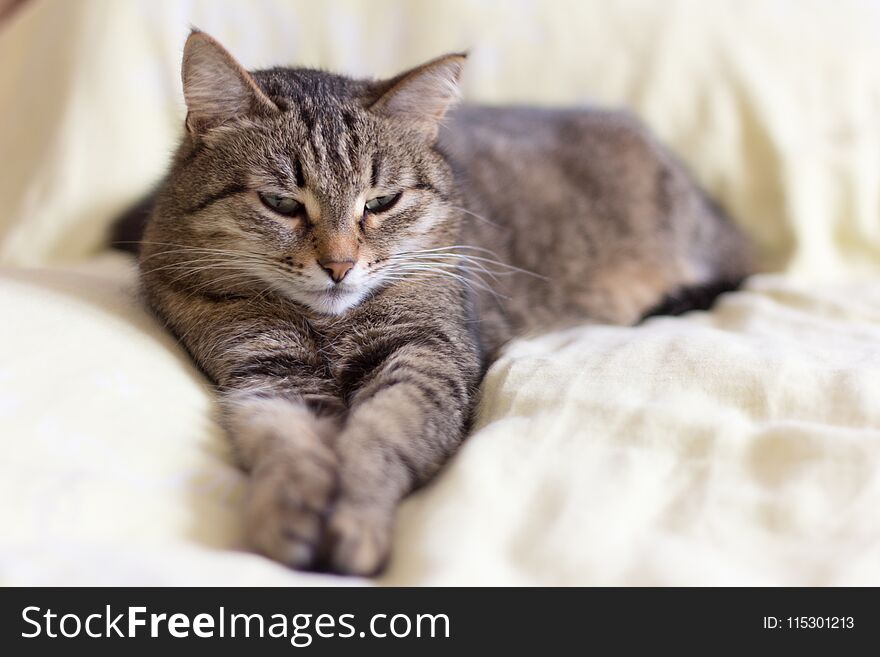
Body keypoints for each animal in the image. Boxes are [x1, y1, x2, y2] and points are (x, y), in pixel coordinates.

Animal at [127, 30, 752, 576]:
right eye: (281, 202)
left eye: (381, 202)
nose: (338, 266)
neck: (325, 324)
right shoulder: (264, 369)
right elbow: (283, 440)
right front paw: (290, 514)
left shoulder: (428, 355)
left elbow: (383, 435)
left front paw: (355, 521)